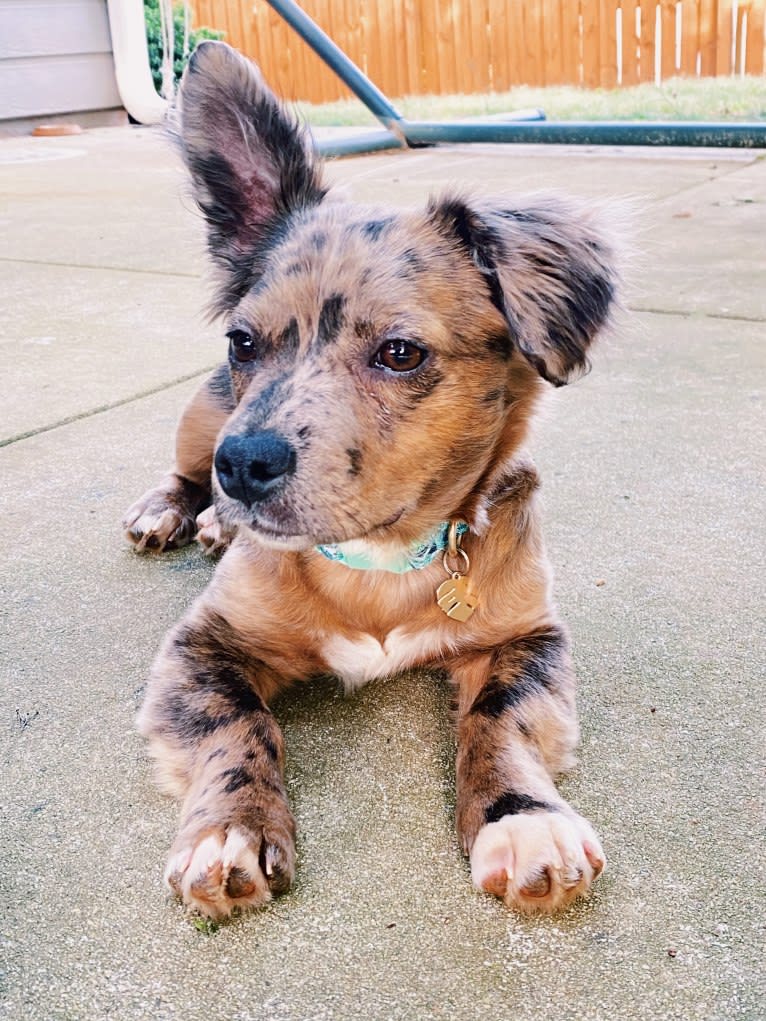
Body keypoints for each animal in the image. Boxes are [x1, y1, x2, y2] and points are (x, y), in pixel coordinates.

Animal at [123, 39, 620, 922]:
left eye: (399, 353)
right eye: (243, 341)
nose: (242, 466)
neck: (376, 558)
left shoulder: (528, 639)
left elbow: (498, 718)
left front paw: (523, 817)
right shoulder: (199, 646)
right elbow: (238, 726)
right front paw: (229, 827)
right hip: (200, 418)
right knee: (179, 470)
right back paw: (177, 509)